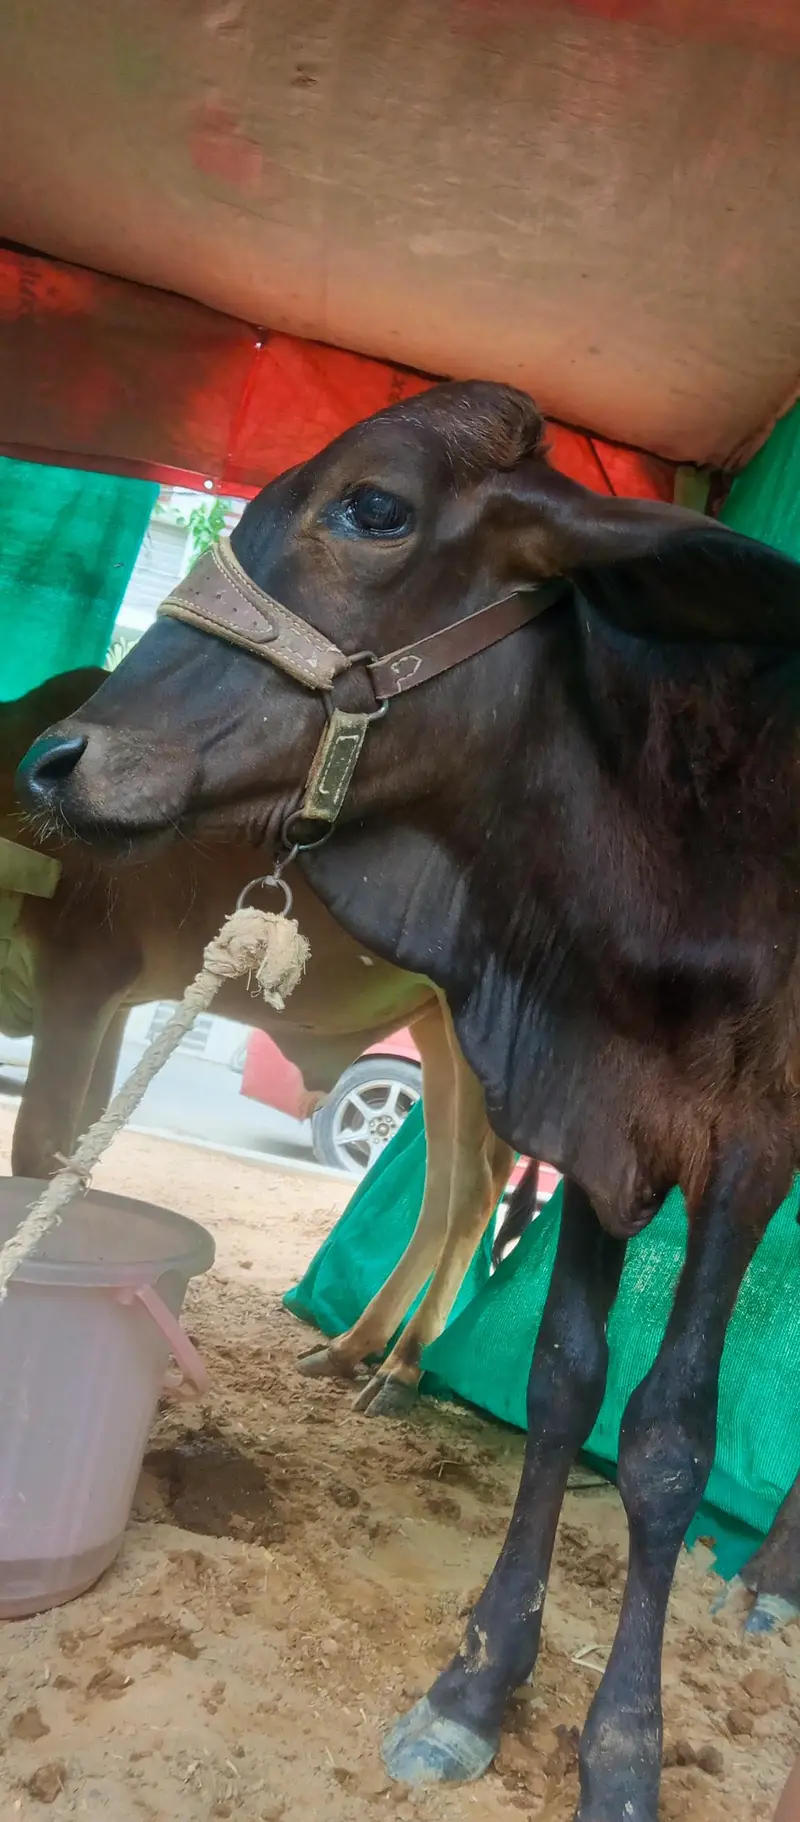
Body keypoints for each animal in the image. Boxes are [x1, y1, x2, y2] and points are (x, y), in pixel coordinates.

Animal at [2, 669, 514, 1414]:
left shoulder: (84, 972)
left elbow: (40, 1150)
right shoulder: (114, 1005)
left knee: (472, 1189)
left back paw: (403, 1367)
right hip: (438, 1024)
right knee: (444, 1182)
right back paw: (352, 1348)